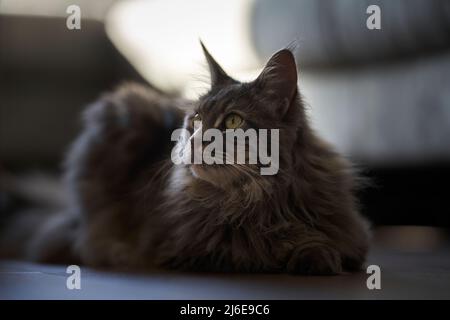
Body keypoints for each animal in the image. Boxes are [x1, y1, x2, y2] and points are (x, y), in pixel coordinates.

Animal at [0, 43, 370, 276]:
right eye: (195, 120)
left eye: (232, 121)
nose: (194, 140)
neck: (261, 198)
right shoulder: (192, 247)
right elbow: (252, 248)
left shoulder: (352, 234)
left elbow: (331, 246)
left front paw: (318, 257)